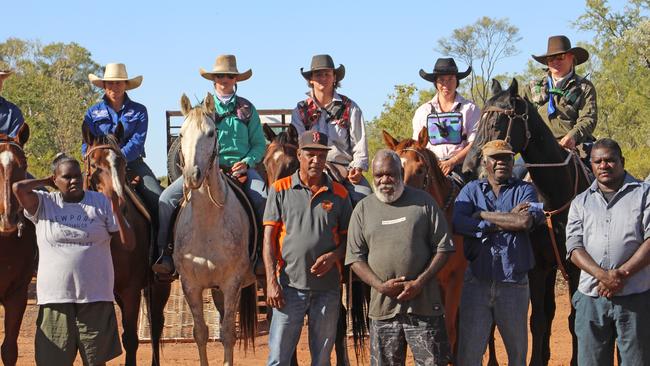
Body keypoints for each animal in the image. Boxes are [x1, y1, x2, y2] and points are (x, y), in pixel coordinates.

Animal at [81, 123, 171, 366]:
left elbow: (130, 339)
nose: (118, 205)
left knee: (157, 325)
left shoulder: (130, 291)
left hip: (159, 285)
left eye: (121, 161)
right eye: (94, 165)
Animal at [458, 78, 588, 364]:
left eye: (497, 123)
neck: (554, 194)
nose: (468, 168)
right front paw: (536, 359)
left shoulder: (574, 266)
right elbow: (538, 320)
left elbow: (575, 318)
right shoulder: (538, 267)